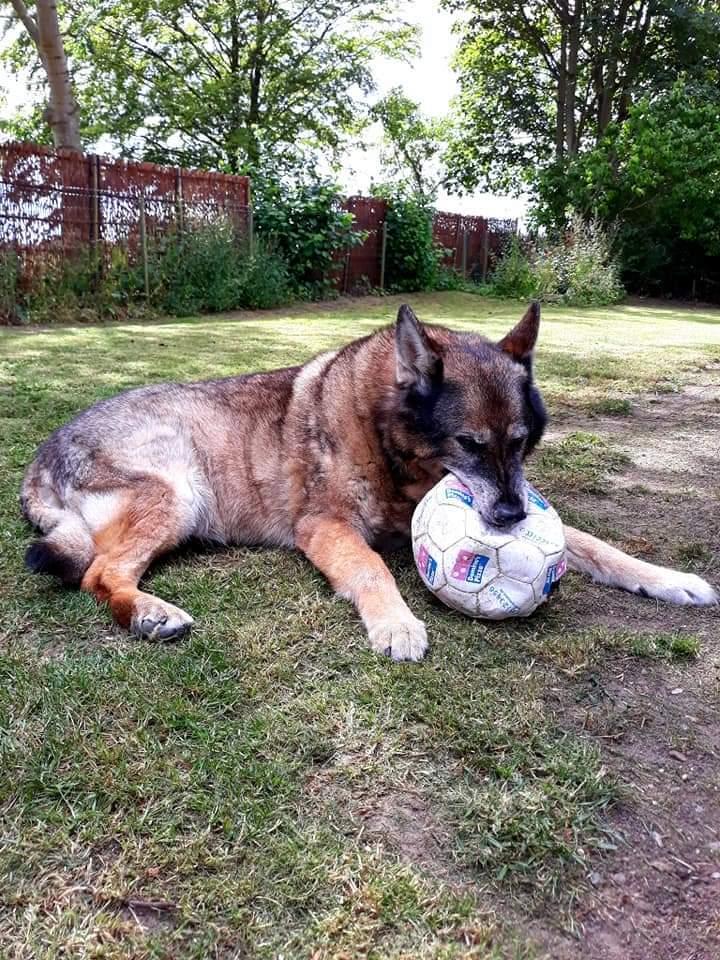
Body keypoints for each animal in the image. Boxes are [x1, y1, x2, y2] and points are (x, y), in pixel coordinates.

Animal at [19, 304, 716, 656]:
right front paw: (396, 623)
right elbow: (373, 568)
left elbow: (595, 544)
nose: (512, 518)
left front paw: (665, 579)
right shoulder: (325, 527)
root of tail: (42, 455)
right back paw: (149, 613)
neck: (393, 448)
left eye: (521, 444)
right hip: (176, 497)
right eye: (469, 444)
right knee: (97, 574)